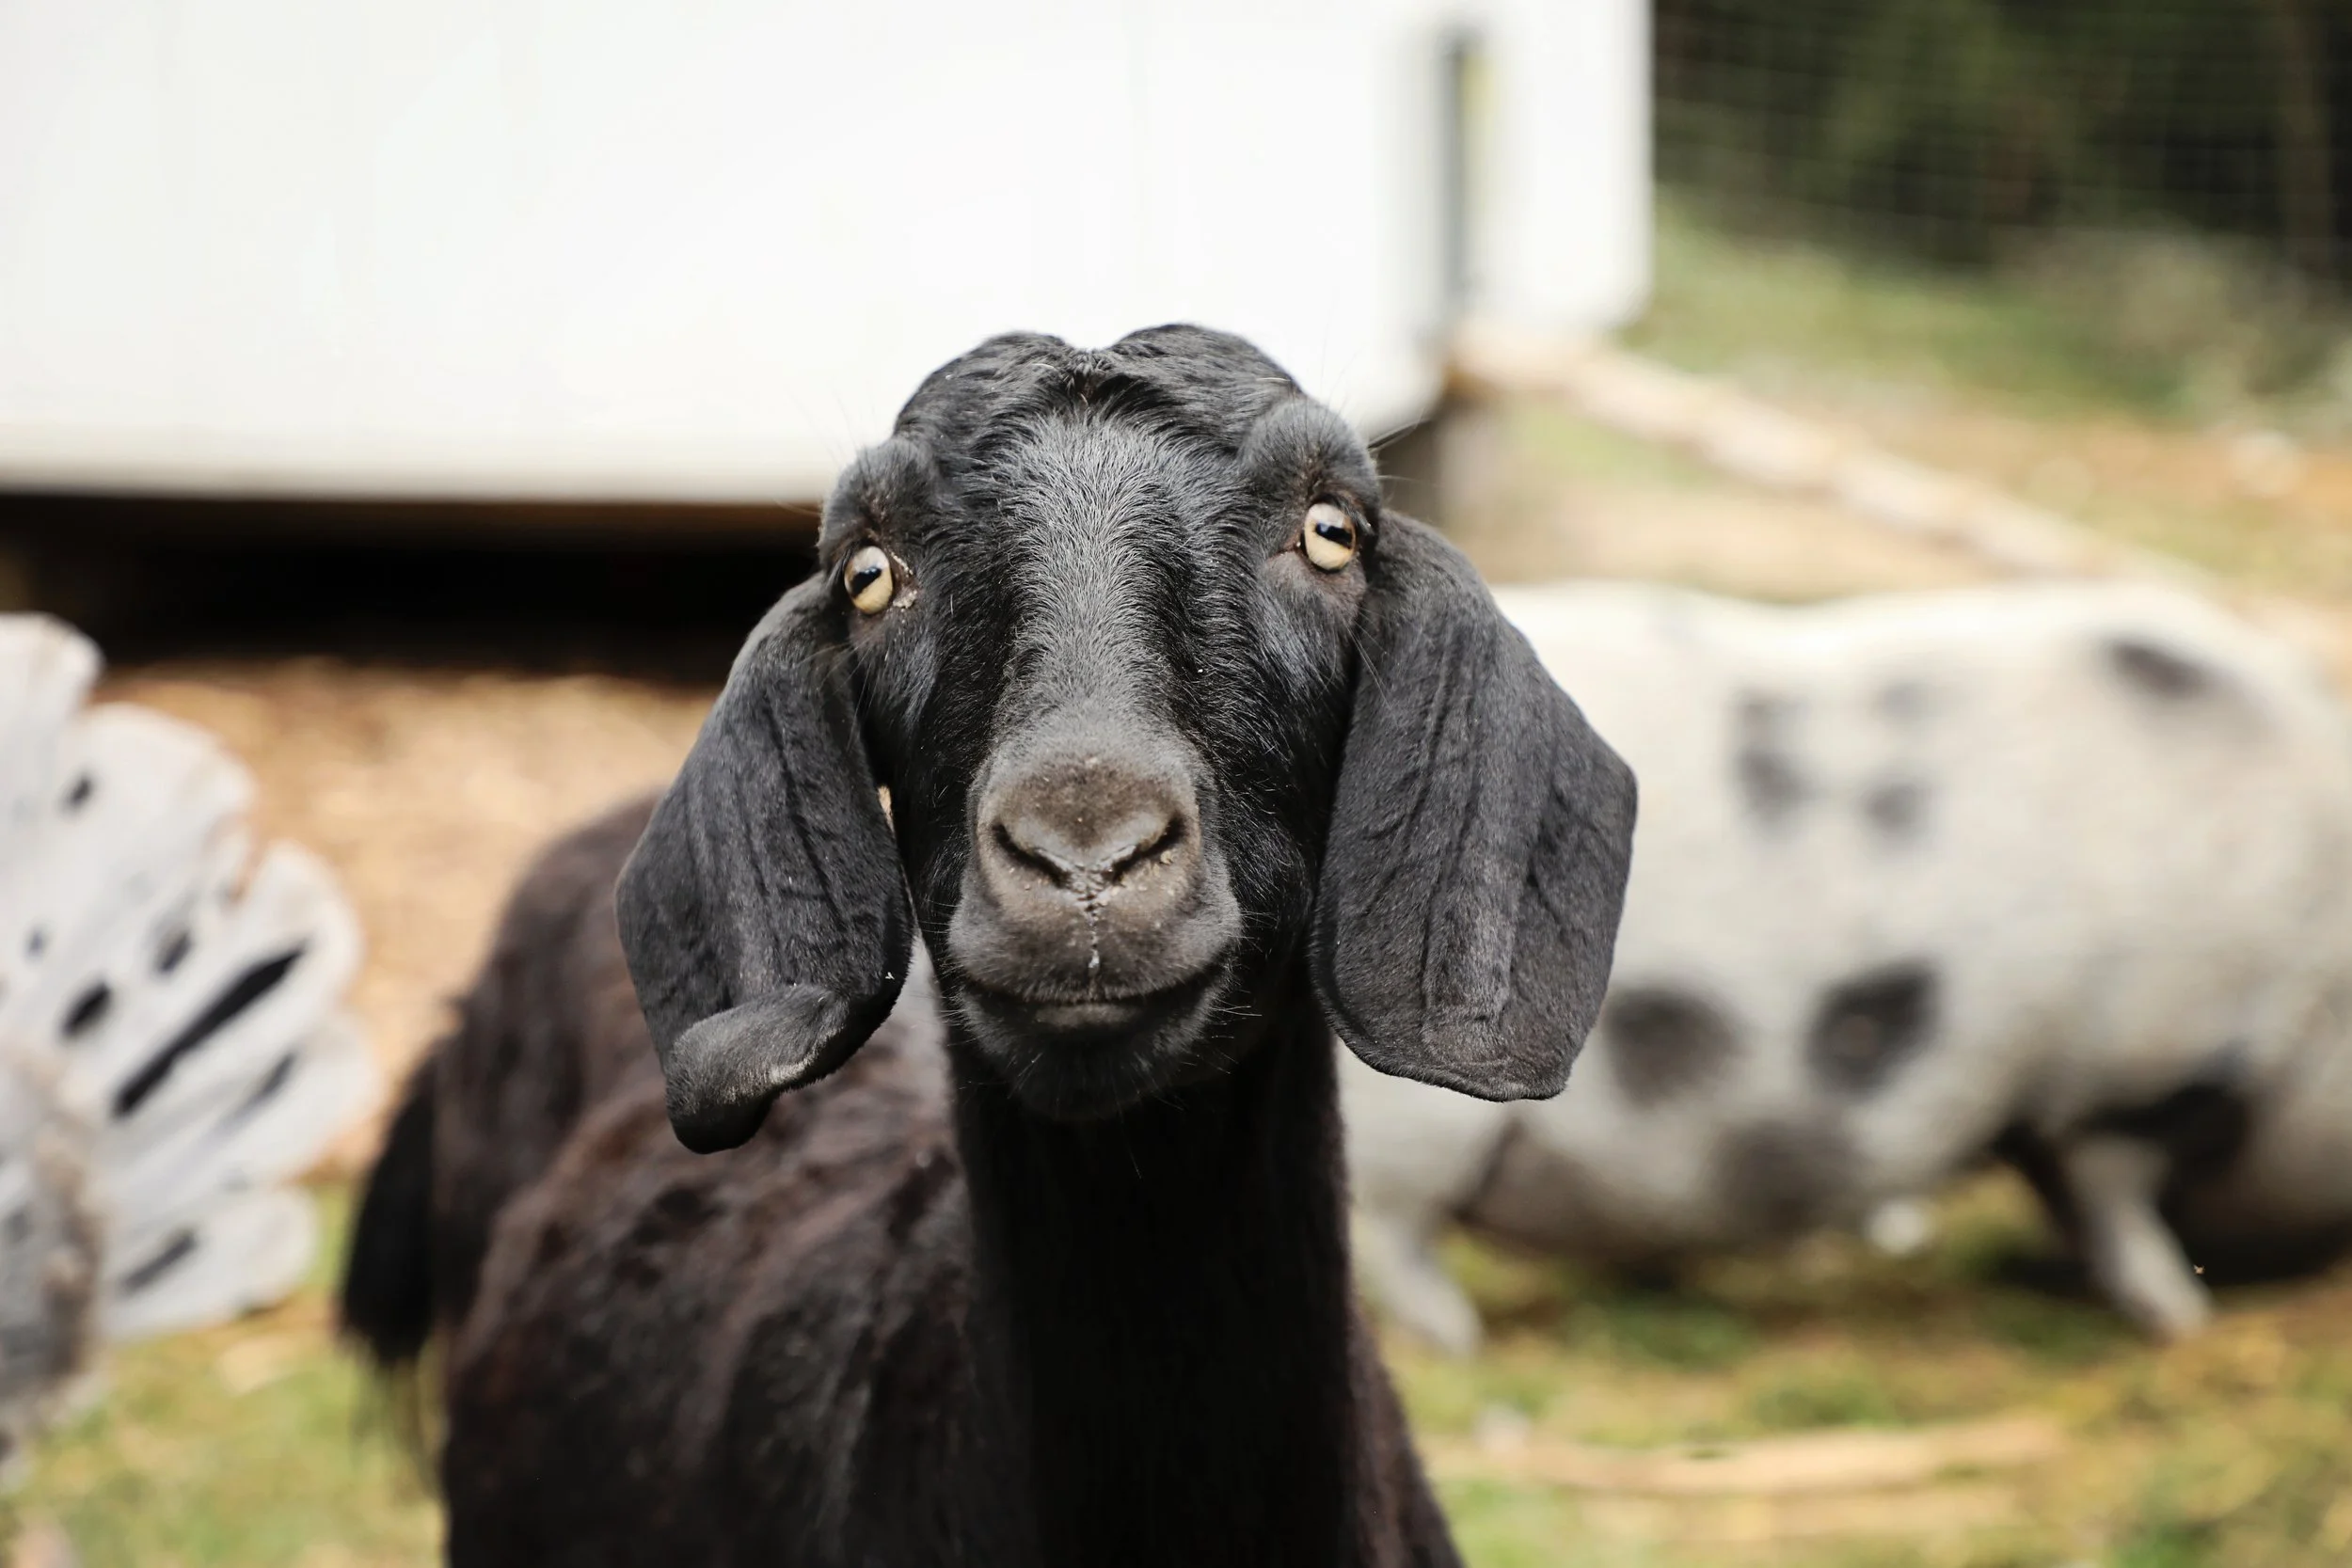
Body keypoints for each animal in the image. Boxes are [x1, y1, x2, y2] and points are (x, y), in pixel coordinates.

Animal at [1346, 577, 2352, 1350]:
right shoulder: (2147, 1055)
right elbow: (2118, 1193)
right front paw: (2183, 1316)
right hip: (1407, 1113)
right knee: (1386, 1231)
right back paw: (1459, 1339)